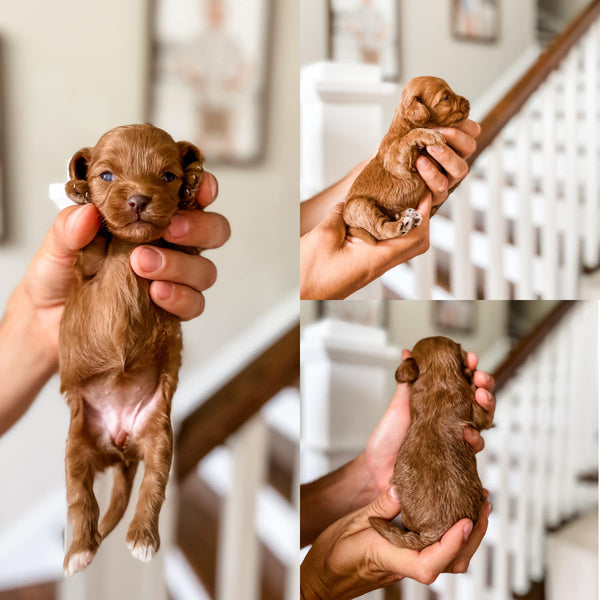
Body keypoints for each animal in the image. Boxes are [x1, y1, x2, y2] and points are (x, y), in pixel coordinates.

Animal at [59, 123, 204, 576]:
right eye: (106, 176)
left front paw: (193, 187)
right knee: (80, 498)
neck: (128, 247)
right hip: (76, 445)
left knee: (153, 486)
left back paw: (141, 538)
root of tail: (120, 445)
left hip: (159, 437)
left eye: (168, 176)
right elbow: (90, 243)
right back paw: (79, 551)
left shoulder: (181, 250)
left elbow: (186, 246)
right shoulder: (84, 268)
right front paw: (77, 192)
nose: (139, 199)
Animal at [344, 77, 472, 244]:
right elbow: (407, 138)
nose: (468, 102)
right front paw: (430, 134)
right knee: (380, 229)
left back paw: (407, 215)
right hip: (359, 206)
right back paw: (402, 224)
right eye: (445, 98)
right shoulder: (395, 160)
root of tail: (348, 223)